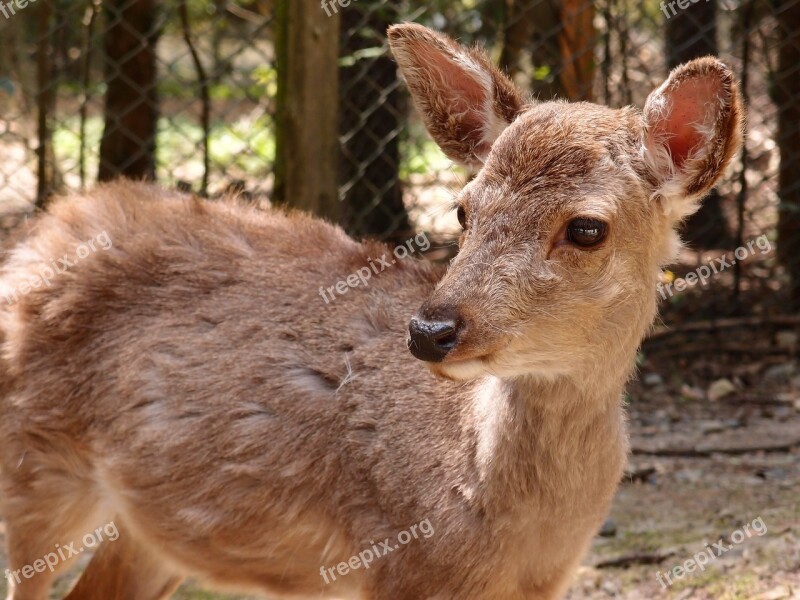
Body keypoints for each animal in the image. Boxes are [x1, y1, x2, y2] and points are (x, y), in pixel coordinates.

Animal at [0, 22, 740, 600]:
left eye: (587, 228)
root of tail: (40, 233)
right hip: (34, 470)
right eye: (464, 210)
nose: (431, 330)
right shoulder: (403, 565)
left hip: (144, 529)